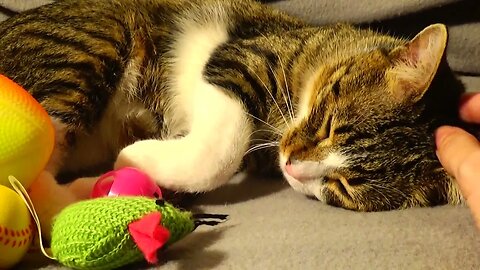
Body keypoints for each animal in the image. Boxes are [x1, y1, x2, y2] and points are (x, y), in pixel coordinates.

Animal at [0, 0, 466, 211]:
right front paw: (136, 157)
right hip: (89, 44)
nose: (292, 164)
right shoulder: (242, 55)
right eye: (329, 125)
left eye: (343, 186)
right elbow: (221, 146)